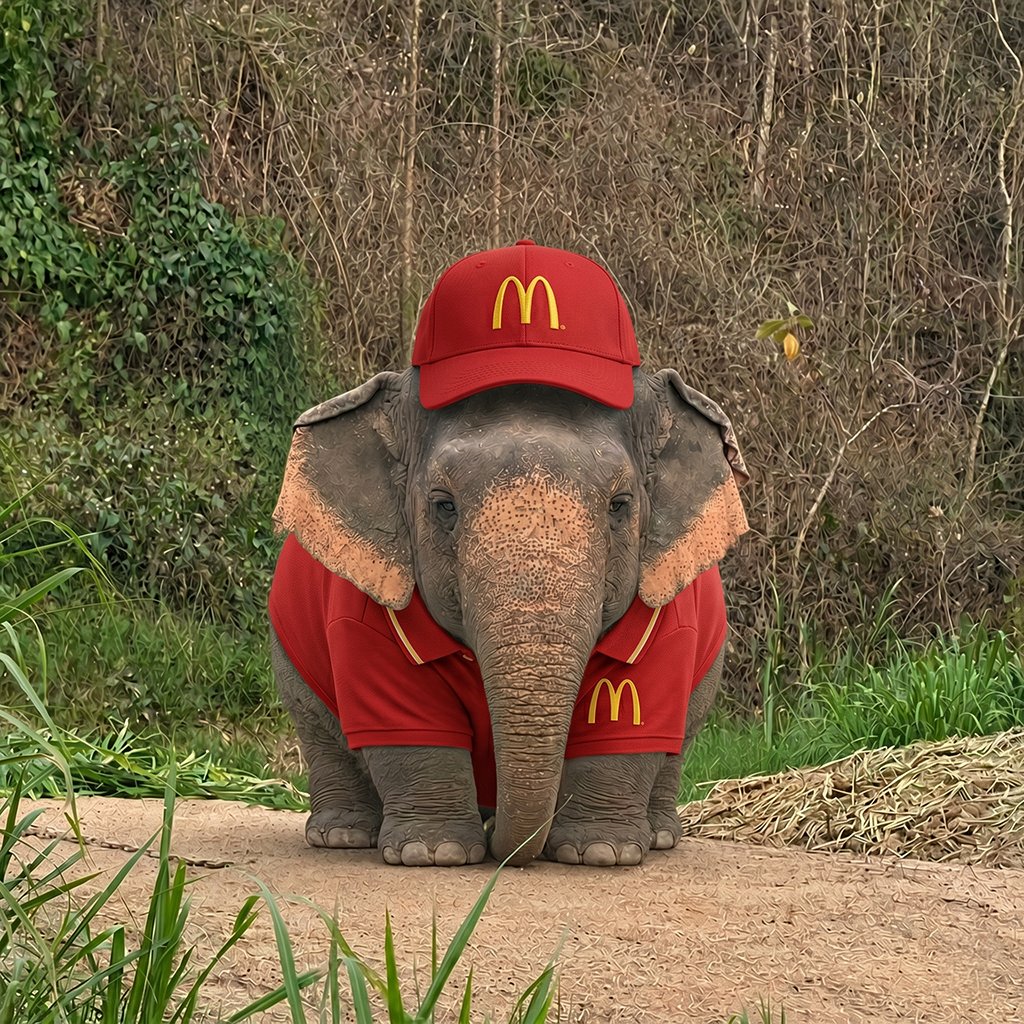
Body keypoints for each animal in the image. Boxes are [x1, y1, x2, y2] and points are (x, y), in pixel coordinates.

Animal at [268, 367, 749, 868]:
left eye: (620, 505)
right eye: (444, 505)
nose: (505, 847)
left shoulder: (666, 612)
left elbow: (632, 715)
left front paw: (600, 852)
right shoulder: (363, 608)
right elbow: (402, 722)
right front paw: (434, 852)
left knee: (678, 742)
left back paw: (660, 836)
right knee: (319, 729)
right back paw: (343, 835)